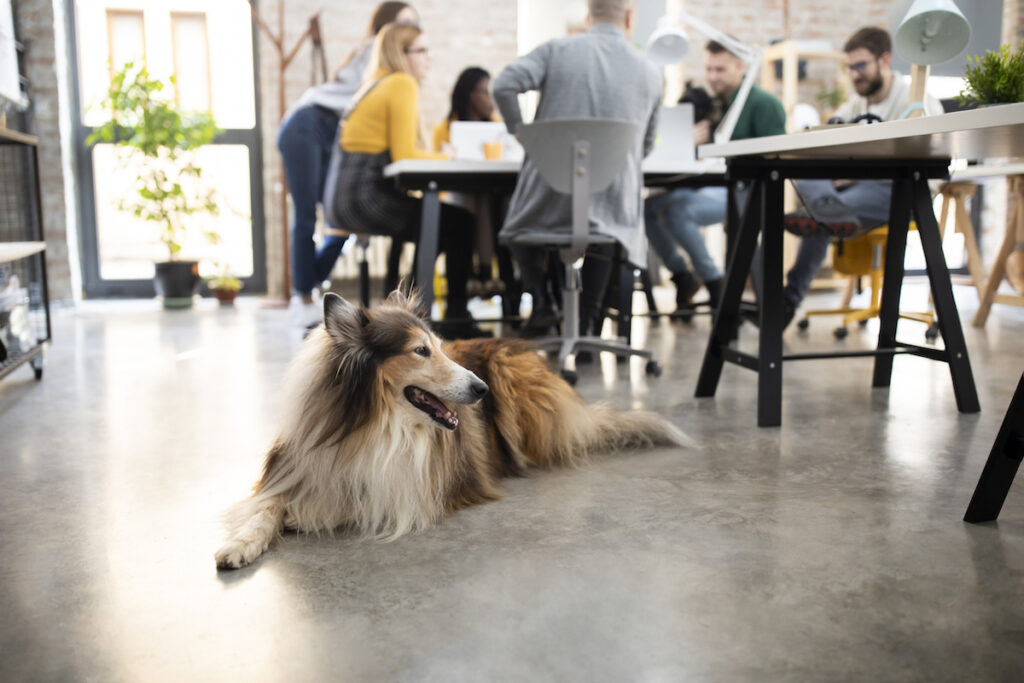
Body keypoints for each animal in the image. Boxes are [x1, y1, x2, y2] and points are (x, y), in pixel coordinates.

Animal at [214, 290, 688, 569]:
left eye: (440, 347)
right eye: (421, 351)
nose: (480, 391)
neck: (374, 427)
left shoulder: (406, 487)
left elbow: (346, 500)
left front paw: (306, 514)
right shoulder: (295, 469)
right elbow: (265, 509)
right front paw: (240, 544)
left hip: (511, 377)